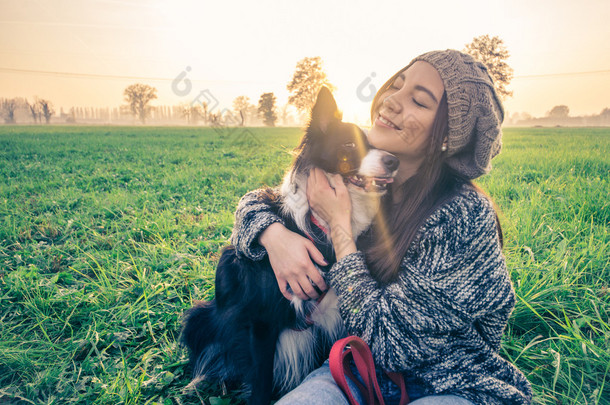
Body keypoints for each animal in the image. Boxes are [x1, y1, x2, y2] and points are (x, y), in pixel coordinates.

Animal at [179, 87, 400, 402]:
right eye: (349, 144)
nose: (394, 161)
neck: (319, 225)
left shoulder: (329, 319)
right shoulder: (261, 323)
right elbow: (260, 385)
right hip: (199, 317)